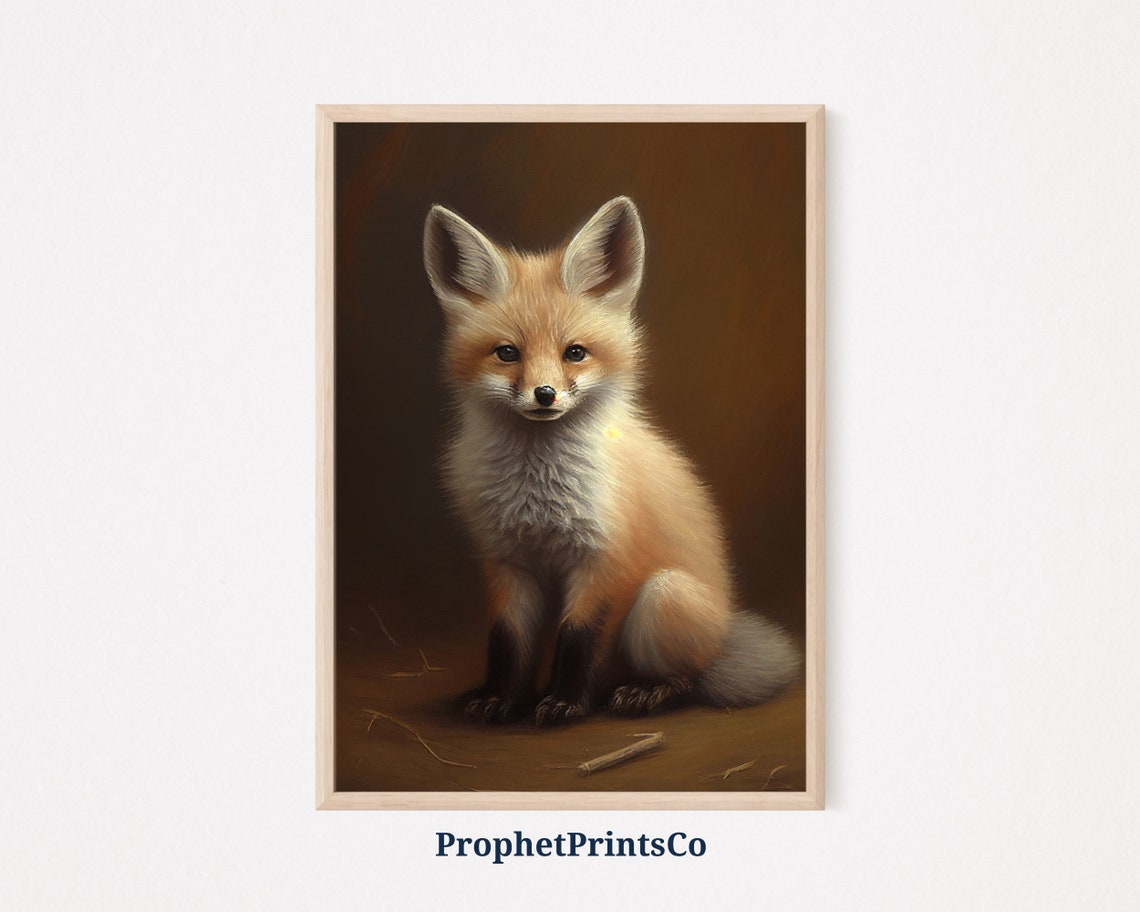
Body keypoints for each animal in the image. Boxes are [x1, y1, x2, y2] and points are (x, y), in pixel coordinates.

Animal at [422, 196, 801, 725]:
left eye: (575, 353)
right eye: (507, 353)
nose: (545, 395)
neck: (538, 494)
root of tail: (726, 634)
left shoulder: (606, 560)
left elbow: (579, 638)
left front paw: (565, 702)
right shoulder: (509, 563)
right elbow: (507, 642)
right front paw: (501, 698)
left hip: (663, 596)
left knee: (691, 676)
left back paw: (648, 691)